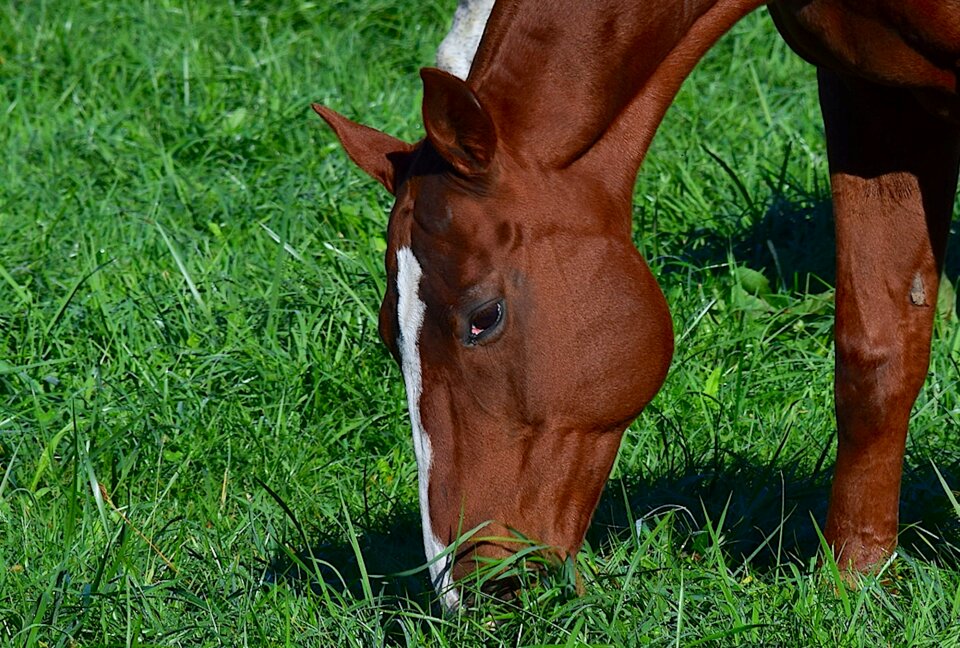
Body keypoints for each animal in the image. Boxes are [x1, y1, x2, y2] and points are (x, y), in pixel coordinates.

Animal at [316, 0, 960, 608]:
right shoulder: (867, 96)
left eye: (484, 318)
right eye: (389, 335)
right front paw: (857, 579)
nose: (467, 588)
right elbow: (875, 358)